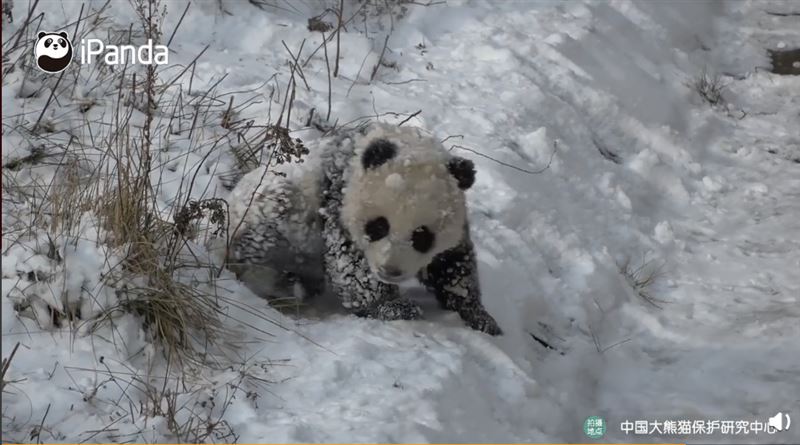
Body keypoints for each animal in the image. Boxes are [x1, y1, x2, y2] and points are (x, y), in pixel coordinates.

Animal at [221, 123, 502, 335]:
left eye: (422, 236)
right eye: (379, 226)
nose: (390, 271)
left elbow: (452, 265)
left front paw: (479, 315)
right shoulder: (337, 200)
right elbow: (351, 269)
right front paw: (396, 307)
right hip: (272, 219)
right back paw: (286, 291)